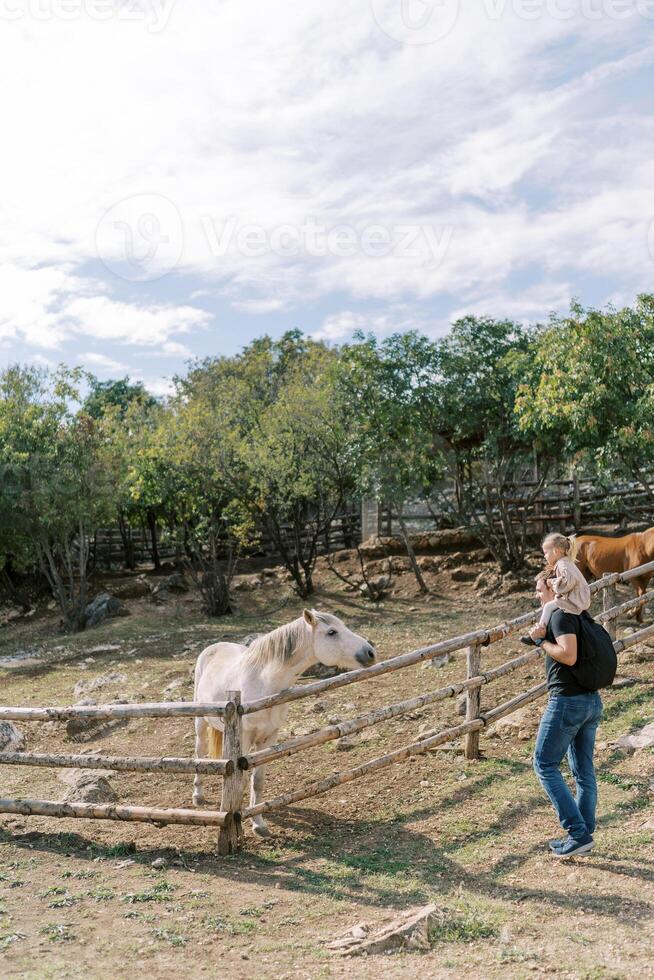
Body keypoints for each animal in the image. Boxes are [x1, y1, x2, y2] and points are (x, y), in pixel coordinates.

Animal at [192, 608, 376, 840]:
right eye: (332, 632)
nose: (370, 652)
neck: (264, 683)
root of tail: (213, 648)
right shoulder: (245, 738)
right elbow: (241, 781)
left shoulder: (269, 737)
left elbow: (257, 781)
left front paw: (258, 823)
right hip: (200, 722)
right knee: (200, 752)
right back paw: (197, 795)